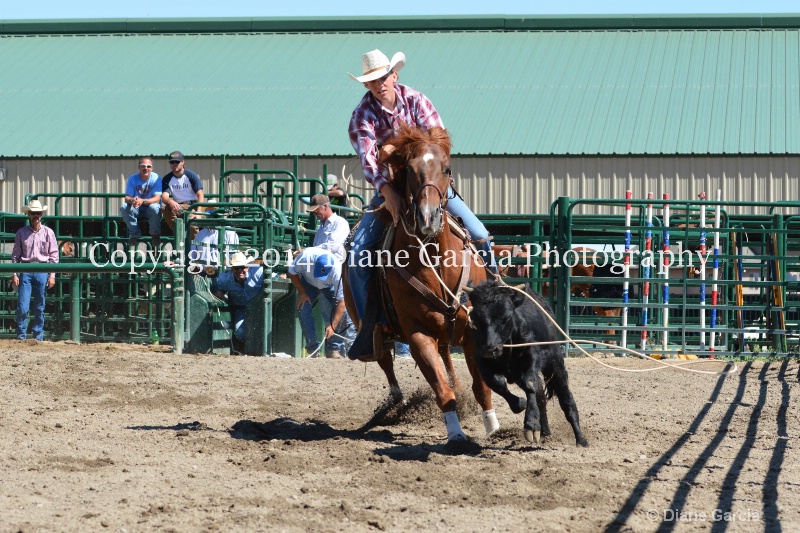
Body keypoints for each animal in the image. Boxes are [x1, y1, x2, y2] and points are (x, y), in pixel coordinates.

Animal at [468, 280, 588, 446]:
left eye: (506, 317)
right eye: (476, 318)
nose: (490, 349)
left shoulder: (531, 358)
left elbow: (530, 383)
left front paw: (531, 424)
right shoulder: (482, 362)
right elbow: (498, 384)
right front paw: (519, 404)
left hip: (555, 363)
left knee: (566, 400)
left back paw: (580, 439)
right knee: (541, 397)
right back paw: (545, 432)